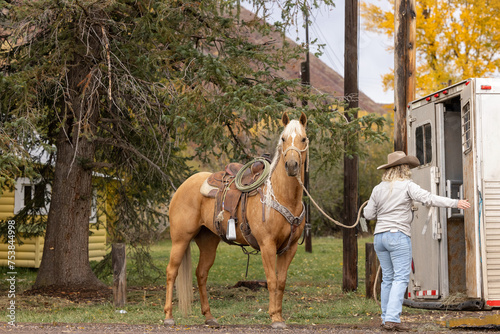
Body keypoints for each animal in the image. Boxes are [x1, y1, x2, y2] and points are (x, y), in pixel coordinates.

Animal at [164, 112, 306, 328]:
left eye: (304, 139)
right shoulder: (267, 245)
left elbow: (281, 282)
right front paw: (274, 318)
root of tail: (181, 187)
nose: (291, 165)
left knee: (201, 274)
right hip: (180, 239)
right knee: (172, 271)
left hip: (207, 241)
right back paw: (168, 317)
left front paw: (280, 317)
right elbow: (272, 280)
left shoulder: (289, 248)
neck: (283, 196)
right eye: (283, 139)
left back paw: (209, 317)